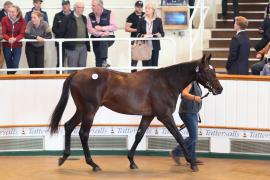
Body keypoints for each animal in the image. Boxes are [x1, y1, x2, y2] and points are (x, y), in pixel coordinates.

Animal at [49, 54, 223, 172]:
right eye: (208, 71)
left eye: (214, 70)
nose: (219, 89)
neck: (166, 82)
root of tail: (76, 74)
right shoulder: (165, 116)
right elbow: (179, 136)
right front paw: (192, 163)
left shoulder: (148, 115)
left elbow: (139, 135)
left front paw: (132, 161)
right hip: (90, 110)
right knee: (83, 134)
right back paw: (93, 164)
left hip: (82, 110)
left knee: (68, 126)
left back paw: (63, 157)